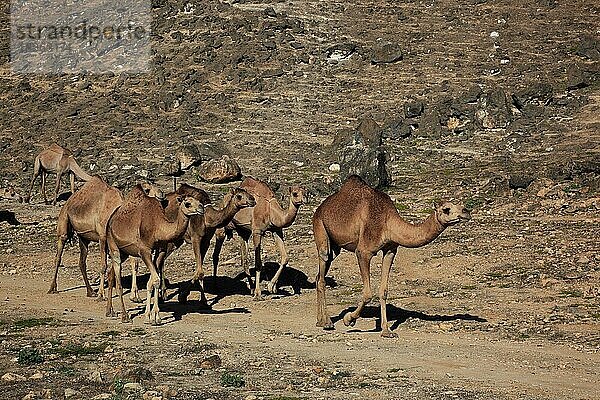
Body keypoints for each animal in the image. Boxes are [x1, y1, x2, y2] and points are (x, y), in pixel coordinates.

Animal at [105, 185, 204, 324]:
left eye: (198, 201)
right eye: (187, 203)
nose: (201, 208)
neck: (159, 227)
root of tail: (111, 219)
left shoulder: (161, 249)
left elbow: (152, 281)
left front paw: (151, 316)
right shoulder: (144, 250)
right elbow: (156, 280)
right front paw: (155, 316)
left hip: (124, 251)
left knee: (111, 274)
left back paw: (110, 311)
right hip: (112, 244)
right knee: (119, 282)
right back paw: (125, 316)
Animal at [312, 175, 472, 338]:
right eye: (446, 209)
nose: (466, 211)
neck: (387, 222)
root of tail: (320, 208)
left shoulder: (390, 250)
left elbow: (383, 291)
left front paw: (387, 331)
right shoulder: (363, 252)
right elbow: (368, 293)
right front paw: (349, 319)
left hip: (335, 248)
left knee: (319, 276)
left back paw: (320, 321)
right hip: (320, 227)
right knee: (323, 266)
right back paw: (327, 322)